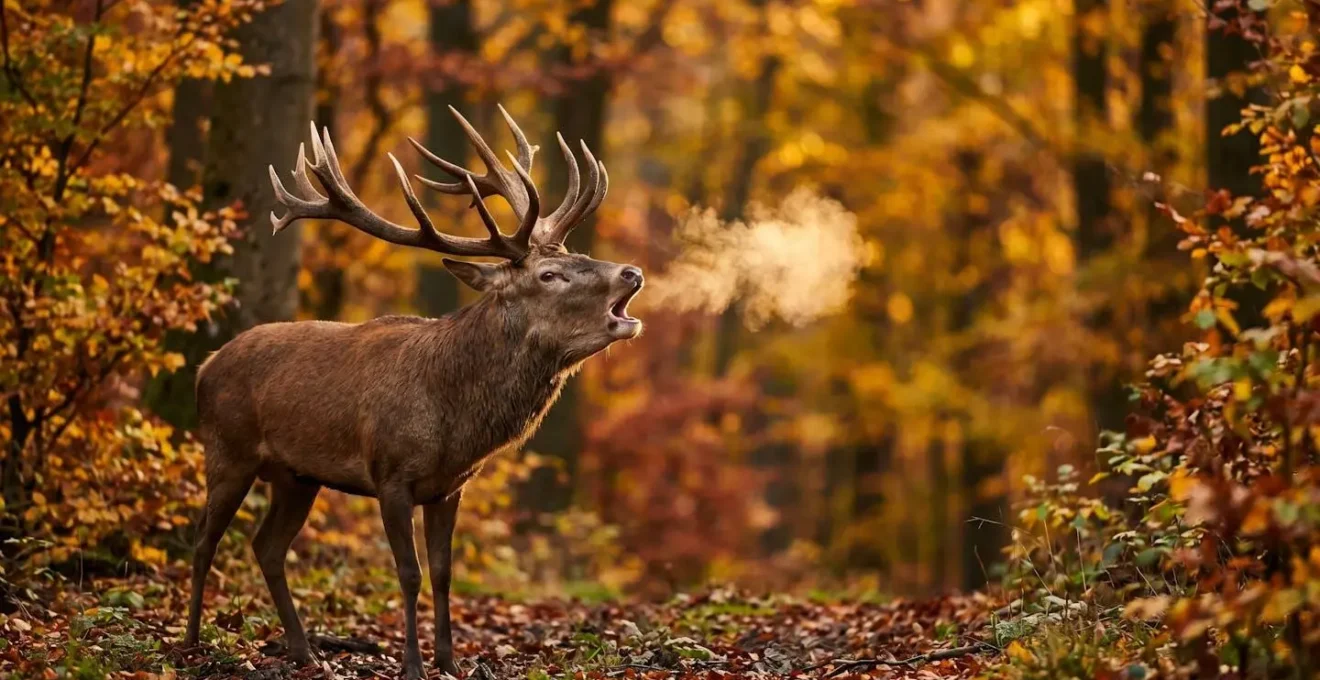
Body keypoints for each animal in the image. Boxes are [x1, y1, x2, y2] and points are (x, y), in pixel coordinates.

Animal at [181, 106, 643, 679]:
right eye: (549, 274)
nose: (632, 272)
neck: (454, 421)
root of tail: (204, 367)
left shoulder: (450, 486)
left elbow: (444, 573)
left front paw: (449, 660)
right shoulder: (391, 475)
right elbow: (409, 573)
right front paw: (413, 665)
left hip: (296, 476)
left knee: (266, 546)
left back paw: (303, 649)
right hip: (228, 450)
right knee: (204, 540)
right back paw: (191, 641)